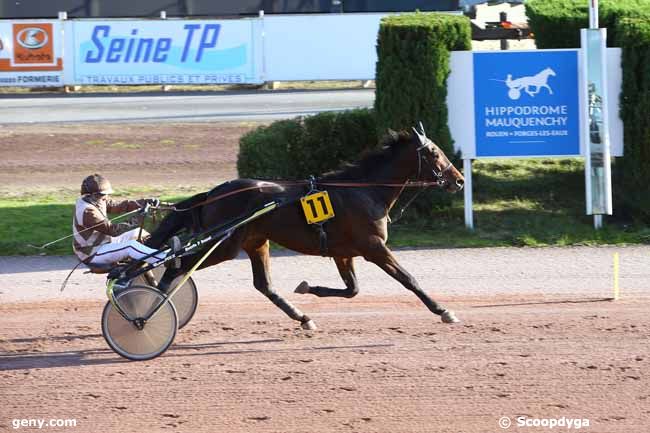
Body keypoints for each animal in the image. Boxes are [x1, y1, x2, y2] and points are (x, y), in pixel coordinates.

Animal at [145, 126, 464, 330]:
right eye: (435, 153)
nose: (459, 180)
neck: (364, 190)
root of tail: (213, 193)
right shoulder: (373, 247)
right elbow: (409, 279)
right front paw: (443, 310)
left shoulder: (343, 252)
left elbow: (352, 290)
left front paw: (309, 287)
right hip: (222, 245)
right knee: (177, 265)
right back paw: (150, 305)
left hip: (255, 242)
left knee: (264, 285)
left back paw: (302, 318)